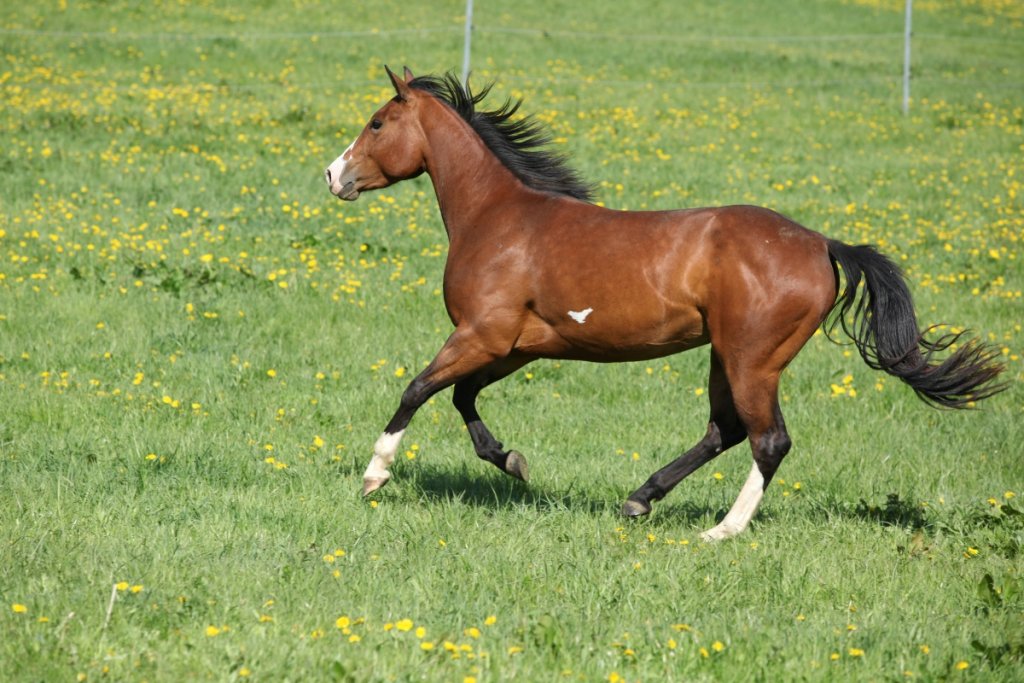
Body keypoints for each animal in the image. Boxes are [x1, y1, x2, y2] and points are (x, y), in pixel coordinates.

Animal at [324, 66, 1006, 540]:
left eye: (377, 123)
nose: (333, 176)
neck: (497, 218)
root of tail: (821, 244)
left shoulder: (482, 335)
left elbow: (417, 389)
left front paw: (374, 475)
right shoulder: (517, 346)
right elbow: (462, 397)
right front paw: (512, 462)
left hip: (752, 359)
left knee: (768, 441)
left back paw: (721, 530)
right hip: (726, 356)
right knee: (725, 430)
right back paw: (639, 498)